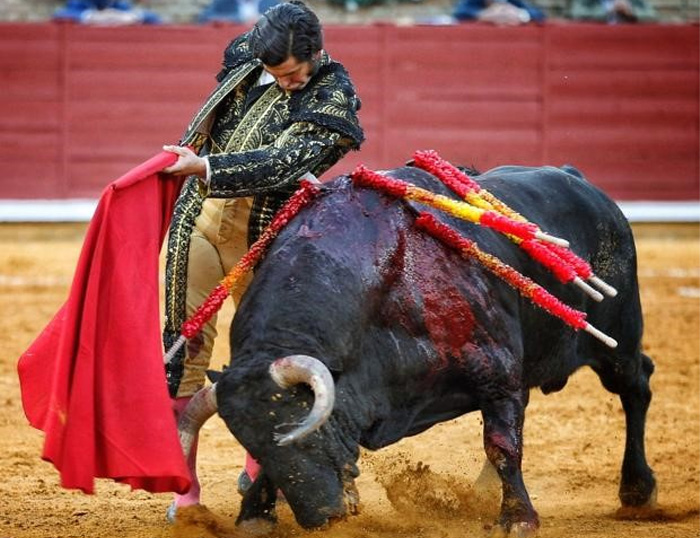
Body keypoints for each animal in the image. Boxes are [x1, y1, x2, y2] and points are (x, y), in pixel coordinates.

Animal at [179, 163, 656, 532]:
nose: (323, 516)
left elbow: (502, 444)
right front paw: (254, 514)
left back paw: (638, 491)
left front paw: (518, 518)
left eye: (309, 433)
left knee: (637, 386)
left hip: (618, 341)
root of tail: (581, 181)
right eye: (254, 444)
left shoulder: (496, 373)